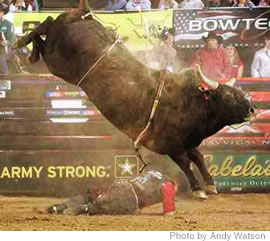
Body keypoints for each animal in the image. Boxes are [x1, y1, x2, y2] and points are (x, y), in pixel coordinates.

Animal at [12, 8, 255, 199]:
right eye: (228, 97)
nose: (252, 109)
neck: (190, 102)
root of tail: (82, 15)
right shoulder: (170, 144)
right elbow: (186, 162)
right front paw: (198, 189)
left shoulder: (189, 141)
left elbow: (199, 158)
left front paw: (211, 185)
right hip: (56, 60)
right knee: (45, 26)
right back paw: (22, 45)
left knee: (47, 26)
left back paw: (28, 51)